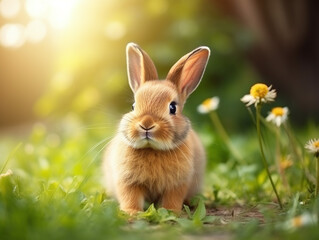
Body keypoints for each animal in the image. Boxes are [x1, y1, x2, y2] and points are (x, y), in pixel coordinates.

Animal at [104, 42, 211, 215]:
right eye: (133, 106)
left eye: (172, 108)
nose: (146, 124)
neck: (152, 149)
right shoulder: (127, 181)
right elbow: (130, 196)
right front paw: (131, 212)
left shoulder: (178, 184)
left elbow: (173, 198)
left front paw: (170, 212)